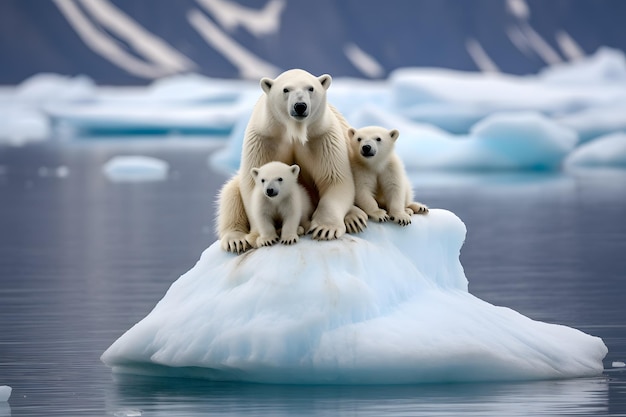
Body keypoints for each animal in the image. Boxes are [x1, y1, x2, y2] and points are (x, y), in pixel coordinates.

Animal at [216, 68, 366, 252]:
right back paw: (236, 240)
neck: (294, 130)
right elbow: (253, 185)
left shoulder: (322, 136)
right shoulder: (264, 138)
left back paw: (354, 218)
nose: (300, 106)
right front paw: (259, 236)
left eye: (311, 88)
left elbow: (334, 178)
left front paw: (324, 228)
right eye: (286, 89)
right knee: (230, 193)